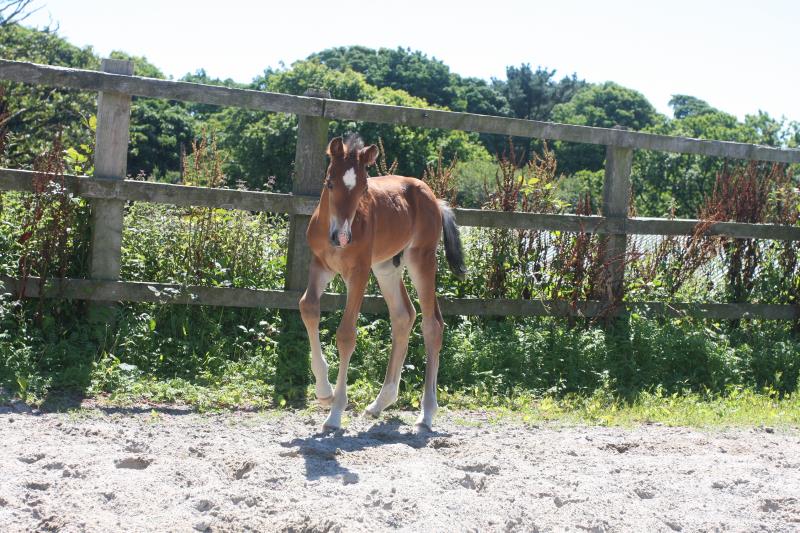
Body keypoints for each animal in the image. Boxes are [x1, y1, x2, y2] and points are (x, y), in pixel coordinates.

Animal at [296, 135, 466, 430]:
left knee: (432, 324)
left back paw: (427, 413)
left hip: (420, 259)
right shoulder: (320, 265)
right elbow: (308, 307)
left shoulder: (359, 272)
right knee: (403, 316)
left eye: (364, 187)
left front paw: (335, 412)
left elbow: (346, 334)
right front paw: (324, 393)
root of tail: (434, 198)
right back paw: (379, 403)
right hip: (387, 267)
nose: (342, 237)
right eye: (330, 182)